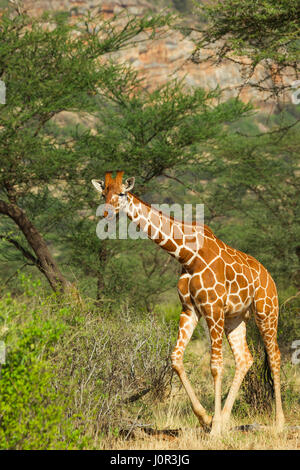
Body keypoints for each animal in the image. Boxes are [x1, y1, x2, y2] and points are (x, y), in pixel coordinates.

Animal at [92, 171, 284, 436]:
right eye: (103, 193)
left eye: (121, 193)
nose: (106, 213)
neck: (187, 256)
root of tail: (269, 276)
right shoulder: (190, 309)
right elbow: (175, 358)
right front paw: (206, 419)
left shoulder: (213, 308)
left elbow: (215, 365)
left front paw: (214, 428)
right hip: (235, 318)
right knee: (245, 358)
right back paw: (226, 418)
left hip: (267, 311)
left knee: (274, 356)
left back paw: (279, 422)